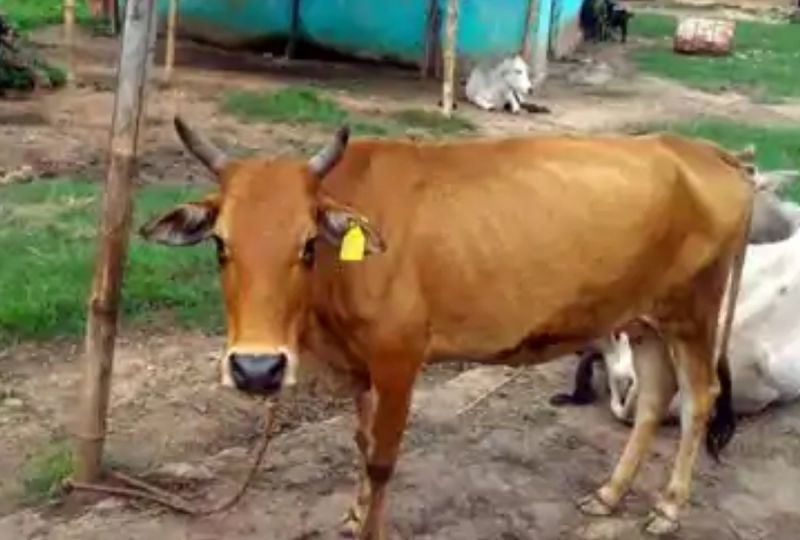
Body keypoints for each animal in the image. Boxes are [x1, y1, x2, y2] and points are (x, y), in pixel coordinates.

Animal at [140, 117, 754, 538]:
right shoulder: (359, 367)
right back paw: (609, 494)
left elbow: (382, 460)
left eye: (308, 245)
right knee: (652, 399)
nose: (257, 369)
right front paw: (354, 513)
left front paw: (370, 526)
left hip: (694, 314)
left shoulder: (399, 361)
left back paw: (668, 507)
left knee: (698, 398)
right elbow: (361, 443)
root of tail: (709, 153)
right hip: (643, 319)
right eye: (221, 245)